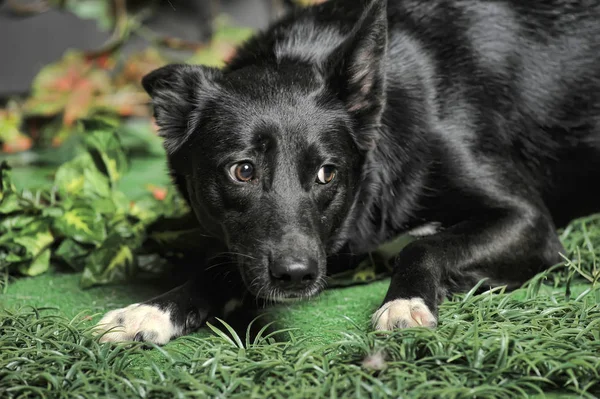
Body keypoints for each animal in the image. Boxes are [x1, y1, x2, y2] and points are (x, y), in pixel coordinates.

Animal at [96, 0, 600, 344]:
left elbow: (424, 245)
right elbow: (221, 267)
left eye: (327, 173)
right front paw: (155, 309)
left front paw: (404, 302)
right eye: (242, 171)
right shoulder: (283, 246)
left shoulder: (529, 221)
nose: (296, 276)